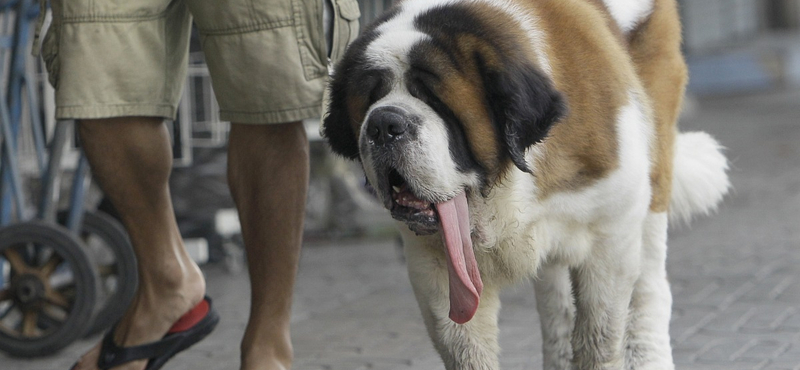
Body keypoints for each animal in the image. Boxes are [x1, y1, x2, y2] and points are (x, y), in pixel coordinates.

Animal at [320, 0, 732, 368]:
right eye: (370, 98)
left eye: (435, 99)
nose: (383, 124)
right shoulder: (435, 264)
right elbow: (468, 348)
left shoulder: (610, 236)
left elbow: (600, 338)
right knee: (556, 307)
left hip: (652, 181)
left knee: (648, 289)